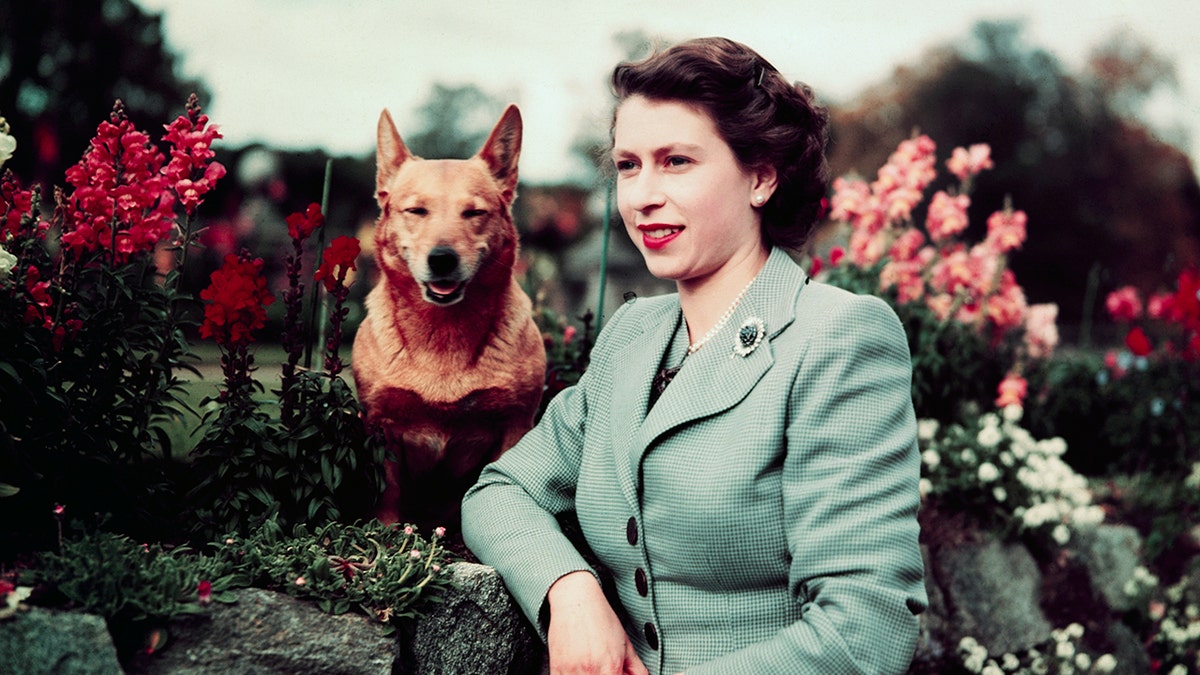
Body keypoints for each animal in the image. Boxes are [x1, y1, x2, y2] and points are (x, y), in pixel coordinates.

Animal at [350, 105, 549, 528]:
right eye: (416, 211)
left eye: (473, 212)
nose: (442, 259)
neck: (443, 334)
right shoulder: (381, 425)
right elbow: (388, 495)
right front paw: (386, 536)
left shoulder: (515, 425)